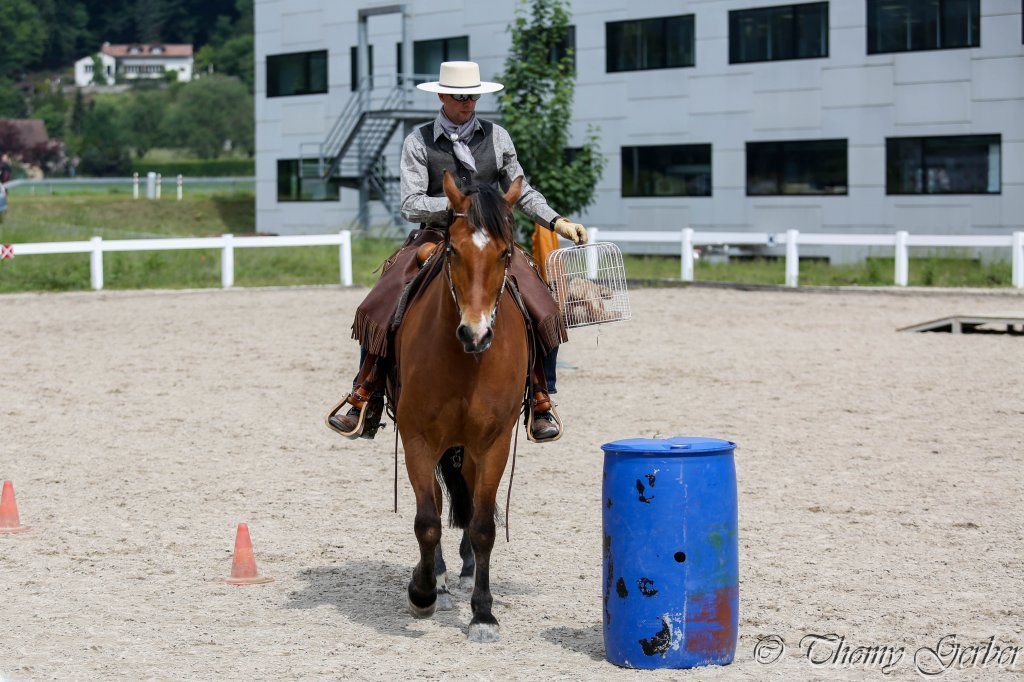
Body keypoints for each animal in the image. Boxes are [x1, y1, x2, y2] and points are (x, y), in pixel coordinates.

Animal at [393, 170, 529, 643]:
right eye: (452, 250)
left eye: (506, 252)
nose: (476, 333)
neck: (465, 363)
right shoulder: (417, 439)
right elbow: (427, 519)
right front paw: (422, 593)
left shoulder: (493, 444)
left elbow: (484, 525)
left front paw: (483, 614)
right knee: (435, 502)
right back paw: (438, 578)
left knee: (468, 504)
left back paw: (467, 572)